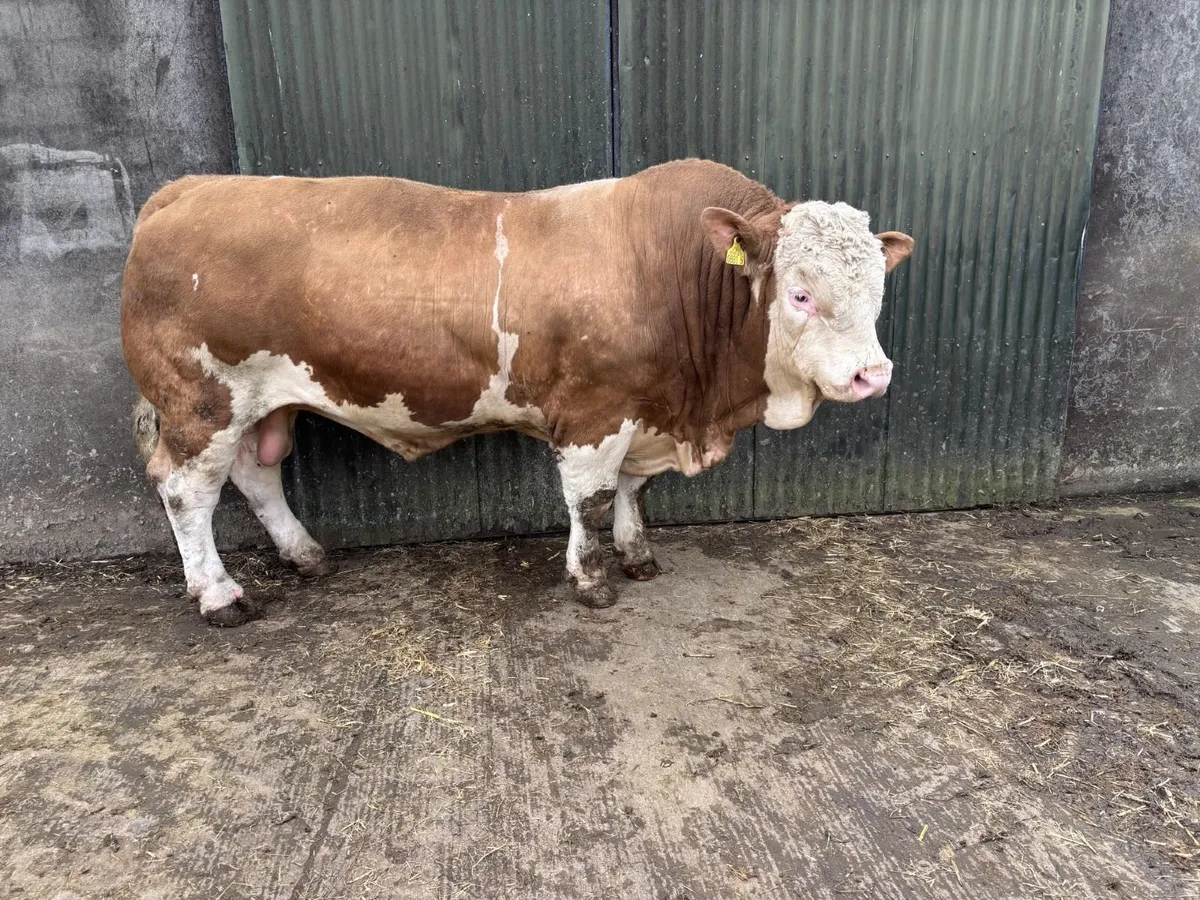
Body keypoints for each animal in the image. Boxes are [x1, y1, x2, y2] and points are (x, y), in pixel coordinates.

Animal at [120, 159, 913, 626]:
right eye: (801, 293)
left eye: (879, 287)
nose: (872, 375)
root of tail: (188, 187)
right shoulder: (595, 413)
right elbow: (590, 501)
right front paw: (591, 580)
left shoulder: (646, 410)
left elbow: (634, 492)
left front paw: (638, 556)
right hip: (201, 402)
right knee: (186, 491)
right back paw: (219, 595)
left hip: (260, 404)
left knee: (256, 476)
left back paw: (305, 554)